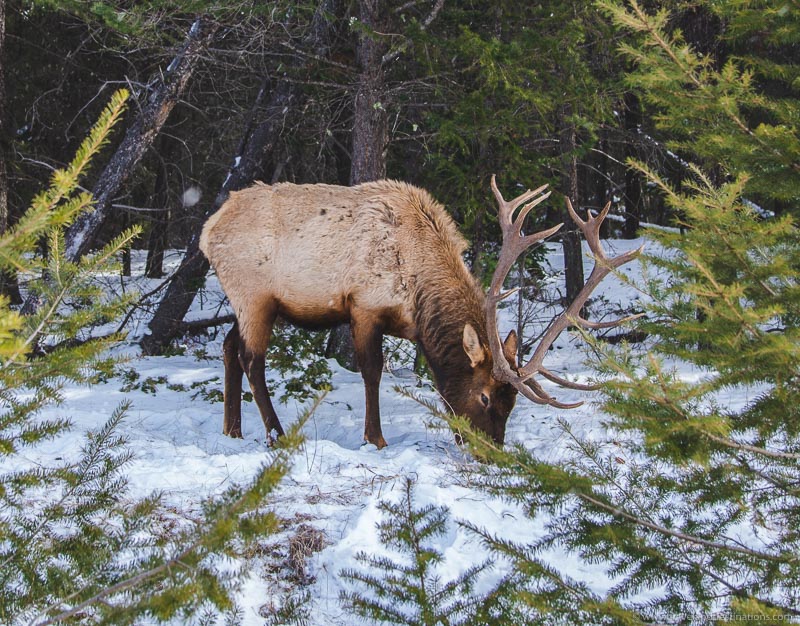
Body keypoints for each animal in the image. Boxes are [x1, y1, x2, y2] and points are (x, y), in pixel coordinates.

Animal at [199, 176, 641, 448]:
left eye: (512, 401)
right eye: (484, 397)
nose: (491, 451)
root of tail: (207, 231)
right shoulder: (363, 305)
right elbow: (372, 371)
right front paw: (375, 438)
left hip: (249, 304)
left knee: (228, 346)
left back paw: (232, 430)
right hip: (254, 295)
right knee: (252, 359)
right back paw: (276, 433)